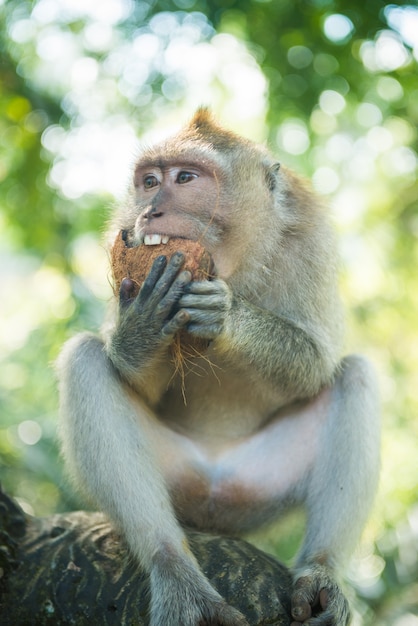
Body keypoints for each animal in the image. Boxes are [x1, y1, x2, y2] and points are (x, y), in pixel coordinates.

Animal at [57, 108, 380, 624]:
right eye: (150, 181)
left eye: (186, 178)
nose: (149, 211)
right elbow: (135, 379)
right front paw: (140, 330)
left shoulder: (311, 239)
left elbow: (315, 365)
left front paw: (226, 316)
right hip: (180, 479)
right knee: (84, 359)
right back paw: (176, 574)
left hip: (260, 485)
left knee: (355, 377)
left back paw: (321, 574)